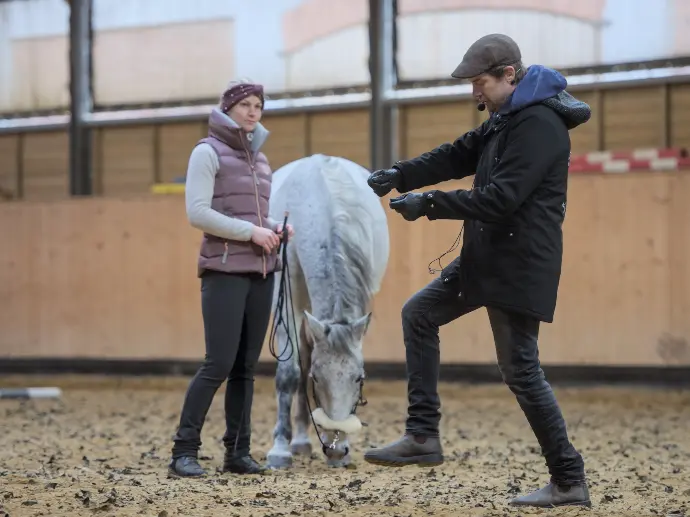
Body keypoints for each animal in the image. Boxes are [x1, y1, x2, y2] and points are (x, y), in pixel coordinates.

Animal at [266, 152, 390, 468]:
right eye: (317, 378)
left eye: (359, 378)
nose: (336, 450)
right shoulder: (288, 301)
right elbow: (289, 373)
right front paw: (279, 449)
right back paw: (297, 441)